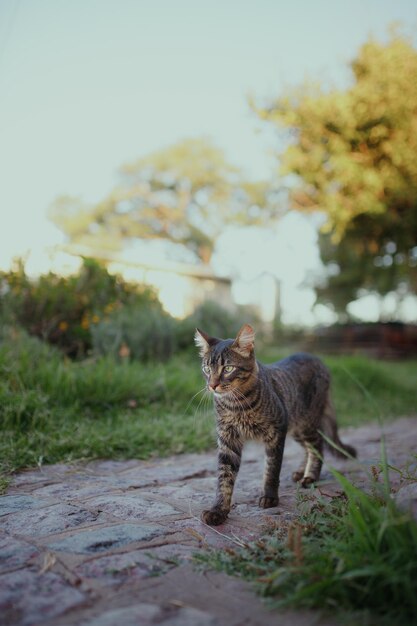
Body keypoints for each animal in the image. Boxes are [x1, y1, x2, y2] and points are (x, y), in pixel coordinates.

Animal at [194, 324, 354, 524]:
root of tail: (317, 359)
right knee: (308, 448)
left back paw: (310, 477)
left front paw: (269, 497)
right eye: (207, 369)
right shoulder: (227, 438)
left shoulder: (276, 431)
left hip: (307, 424)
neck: (235, 405)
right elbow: (224, 478)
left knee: (317, 446)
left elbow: (272, 469)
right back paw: (301, 472)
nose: (212, 385)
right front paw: (218, 510)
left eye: (228, 368)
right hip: (296, 428)